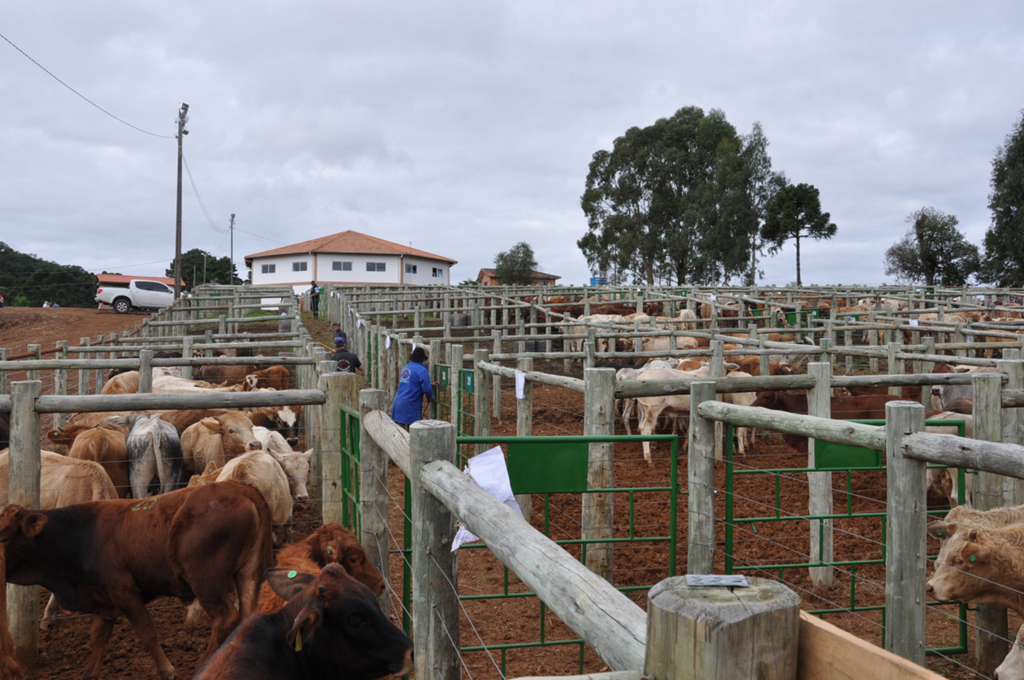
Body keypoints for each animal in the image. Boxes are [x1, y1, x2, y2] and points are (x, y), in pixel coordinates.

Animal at [0, 481, 272, 680]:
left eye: (3, 538)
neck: (83, 535)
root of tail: (238, 488)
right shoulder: (106, 599)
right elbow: (98, 636)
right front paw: (90, 673)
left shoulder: (125, 593)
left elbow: (147, 633)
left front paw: (168, 671)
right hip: (248, 574)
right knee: (247, 616)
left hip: (207, 582)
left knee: (225, 618)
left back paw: (202, 668)